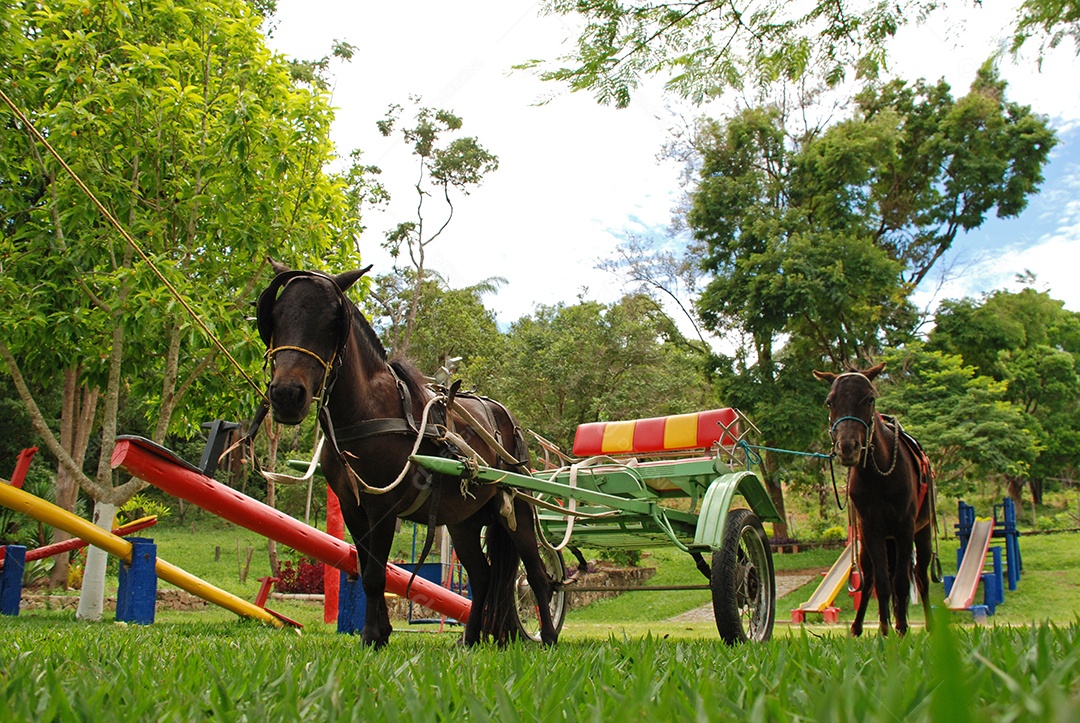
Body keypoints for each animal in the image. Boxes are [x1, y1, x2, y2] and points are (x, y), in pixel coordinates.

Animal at [255, 260, 559, 648]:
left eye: (332, 321)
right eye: (276, 315)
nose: (287, 395)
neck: (366, 408)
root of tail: (510, 420)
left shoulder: (383, 507)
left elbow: (374, 574)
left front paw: (372, 635)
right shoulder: (353, 507)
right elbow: (368, 569)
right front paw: (379, 633)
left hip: (517, 510)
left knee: (536, 574)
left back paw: (547, 637)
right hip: (463, 523)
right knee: (483, 577)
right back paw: (470, 640)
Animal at [813, 362, 936, 637]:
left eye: (869, 398)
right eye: (829, 402)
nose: (848, 447)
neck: (878, 477)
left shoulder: (905, 527)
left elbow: (900, 581)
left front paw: (901, 628)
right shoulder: (871, 528)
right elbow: (880, 580)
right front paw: (885, 629)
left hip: (921, 533)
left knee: (920, 576)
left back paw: (929, 624)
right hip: (869, 542)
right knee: (869, 577)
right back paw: (858, 626)